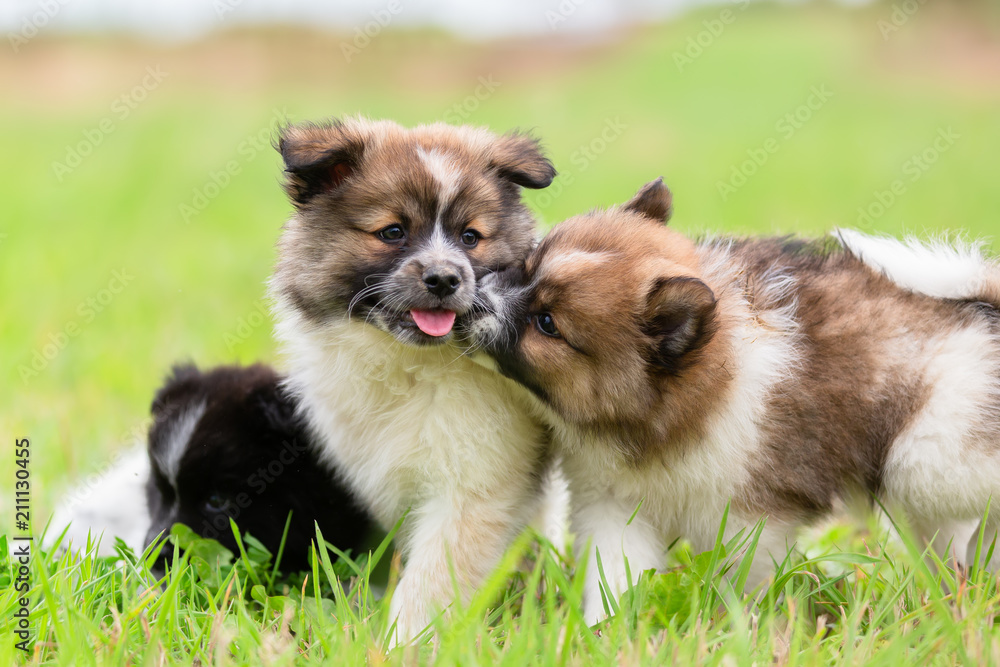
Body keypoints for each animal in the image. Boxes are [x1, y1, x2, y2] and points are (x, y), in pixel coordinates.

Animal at [270, 117, 560, 644]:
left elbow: (432, 577)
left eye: (470, 237)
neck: (410, 364)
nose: (444, 279)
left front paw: (401, 642)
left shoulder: (474, 487)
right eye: (392, 232)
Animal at [472, 180, 1000, 624]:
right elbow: (617, 574)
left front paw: (735, 626)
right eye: (524, 266)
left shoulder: (753, 519)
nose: (472, 300)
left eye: (547, 323)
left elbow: (739, 580)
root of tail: (984, 313)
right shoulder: (613, 505)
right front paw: (605, 630)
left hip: (926, 460)